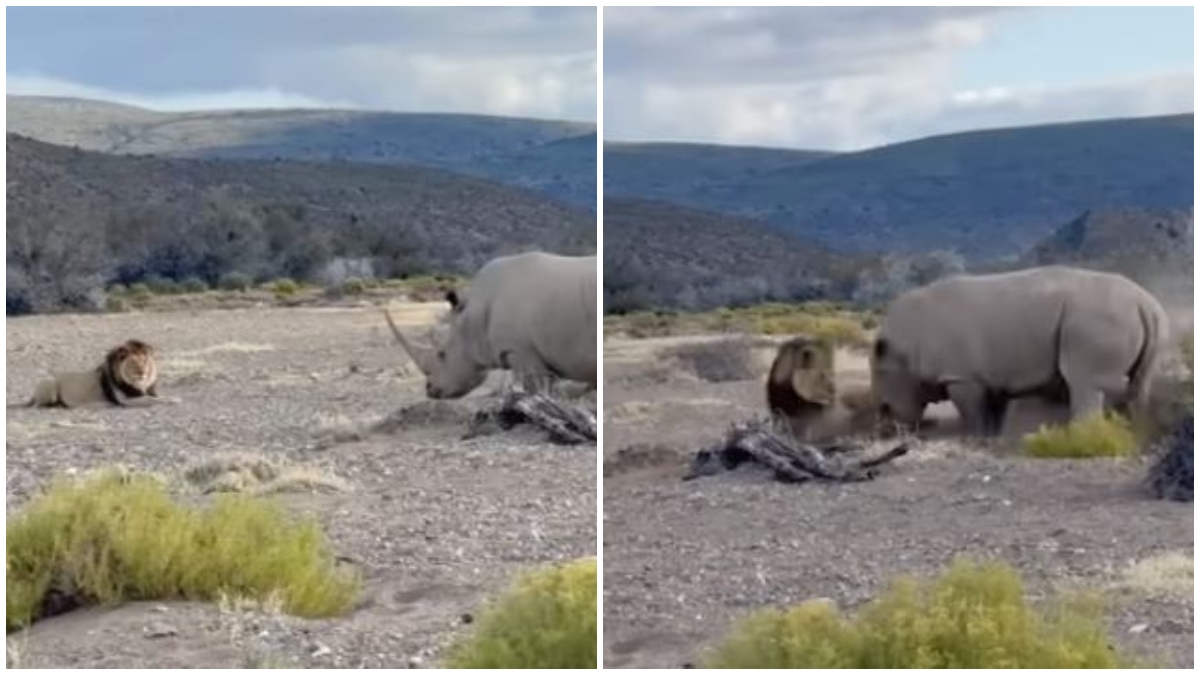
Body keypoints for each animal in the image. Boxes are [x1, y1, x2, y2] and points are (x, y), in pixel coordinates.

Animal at [14, 339, 164, 409]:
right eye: (132, 363)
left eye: (144, 361)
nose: (142, 372)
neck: (140, 384)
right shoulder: (125, 401)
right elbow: (152, 399)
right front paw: (168, 401)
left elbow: (154, 397)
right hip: (50, 384)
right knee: (39, 405)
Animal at [871, 265, 1169, 435]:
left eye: (885, 407)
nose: (888, 433)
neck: (905, 345)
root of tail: (1145, 302)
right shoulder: (989, 376)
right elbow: (992, 410)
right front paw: (993, 438)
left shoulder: (961, 375)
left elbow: (973, 412)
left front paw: (975, 437)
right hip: (1141, 319)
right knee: (1142, 381)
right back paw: (1136, 431)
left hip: (1096, 318)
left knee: (1084, 381)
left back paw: (1079, 436)